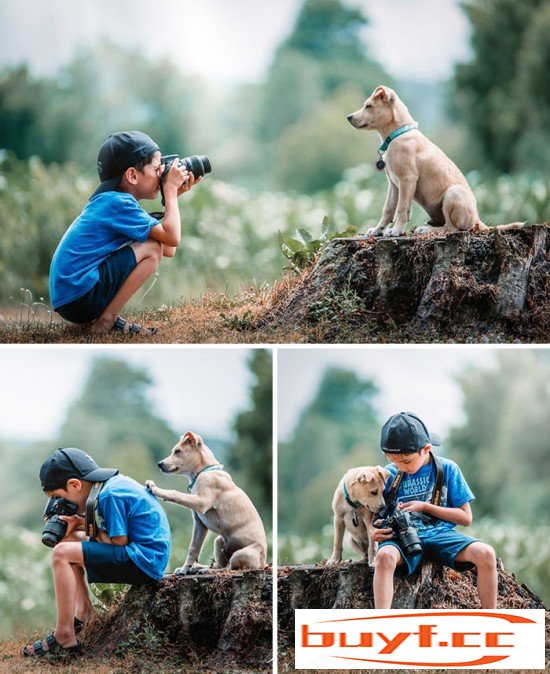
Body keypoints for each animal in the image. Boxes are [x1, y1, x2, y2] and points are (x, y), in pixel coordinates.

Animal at [147, 430, 268, 572]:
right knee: (220, 564)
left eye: (177, 451)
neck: (205, 471)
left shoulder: (201, 502)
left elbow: (175, 493)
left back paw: (207, 569)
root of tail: (264, 563)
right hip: (219, 541)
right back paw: (199, 567)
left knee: (229, 567)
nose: (159, 464)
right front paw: (184, 570)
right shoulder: (199, 524)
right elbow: (193, 548)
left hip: (242, 553)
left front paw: (155, 489)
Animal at [348, 85, 524, 236]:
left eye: (369, 106)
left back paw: (426, 230)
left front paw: (396, 231)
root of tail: (477, 219)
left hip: (452, 195)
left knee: (452, 228)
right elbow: (388, 209)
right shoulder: (393, 183)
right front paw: (378, 230)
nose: (349, 117)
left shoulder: (407, 180)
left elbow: (401, 208)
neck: (398, 134)